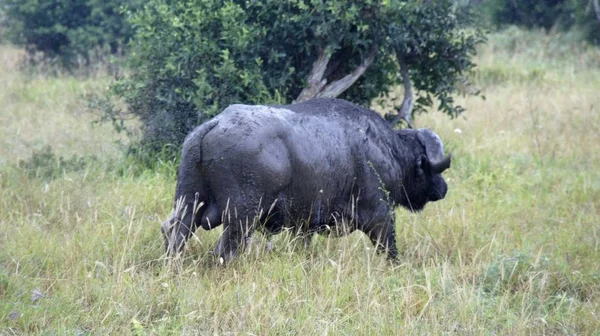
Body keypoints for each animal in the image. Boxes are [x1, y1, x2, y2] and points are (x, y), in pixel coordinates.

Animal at [161, 97, 450, 260]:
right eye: (432, 169)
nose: (443, 188)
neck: (387, 150)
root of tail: (216, 124)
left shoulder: (304, 226)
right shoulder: (381, 216)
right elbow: (389, 248)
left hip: (188, 201)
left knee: (173, 231)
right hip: (241, 217)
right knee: (226, 250)